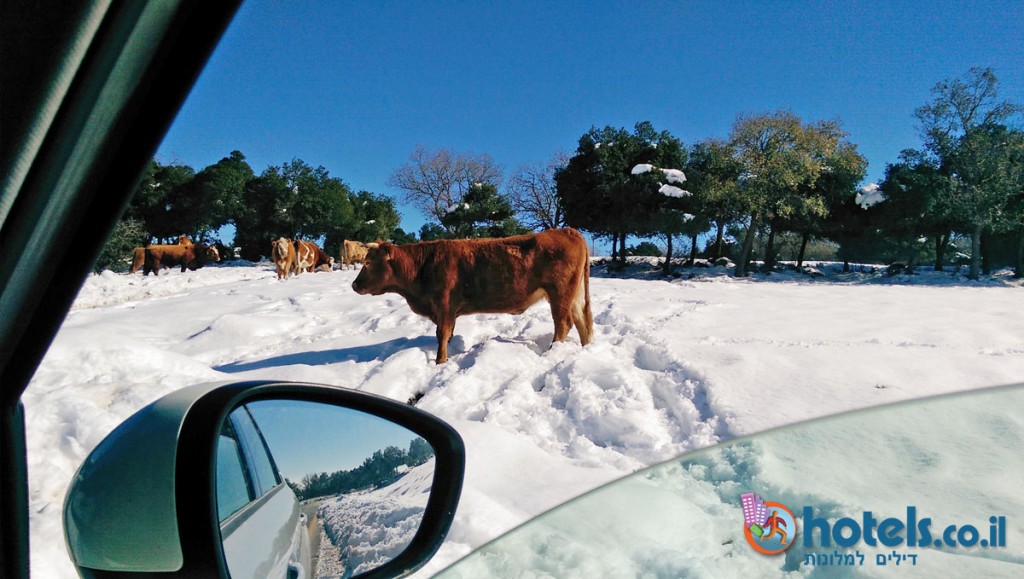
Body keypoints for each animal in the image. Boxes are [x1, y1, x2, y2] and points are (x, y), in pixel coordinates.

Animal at [352, 228, 593, 362]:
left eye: (368, 262)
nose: (354, 285)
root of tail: (567, 231)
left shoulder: (444, 306)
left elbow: (442, 335)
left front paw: (440, 361)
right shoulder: (448, 312)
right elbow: (447, 335)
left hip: (559, 293)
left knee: (563, 324)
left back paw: (552, 352)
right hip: (573, 296)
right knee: (582, 322)